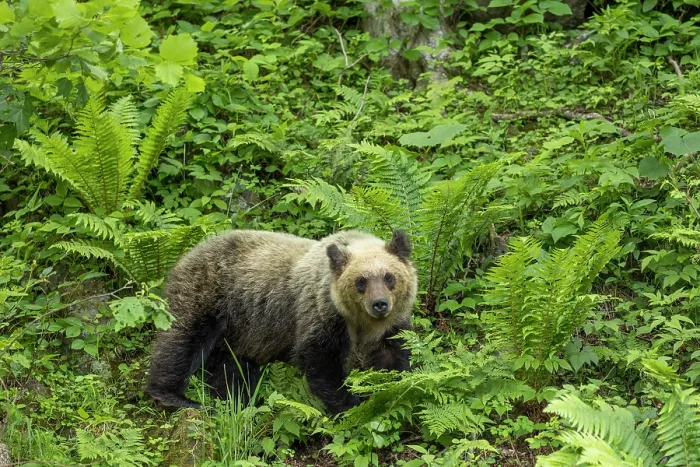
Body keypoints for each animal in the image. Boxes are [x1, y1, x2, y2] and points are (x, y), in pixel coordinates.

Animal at [145, 228, 418, 414]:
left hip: (240, 331)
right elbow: (320, 361)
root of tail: (185, 256)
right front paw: (350, 404)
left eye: (389, 277)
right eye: (361, 281)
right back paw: (174, 396)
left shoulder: (390, 328)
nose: (379, 304)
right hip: (208, 299)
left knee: (233, 370)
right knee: (182, 344)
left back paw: (237, 402)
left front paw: (396, 388)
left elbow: (392, 358)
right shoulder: (320, 314)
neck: (360, 322)